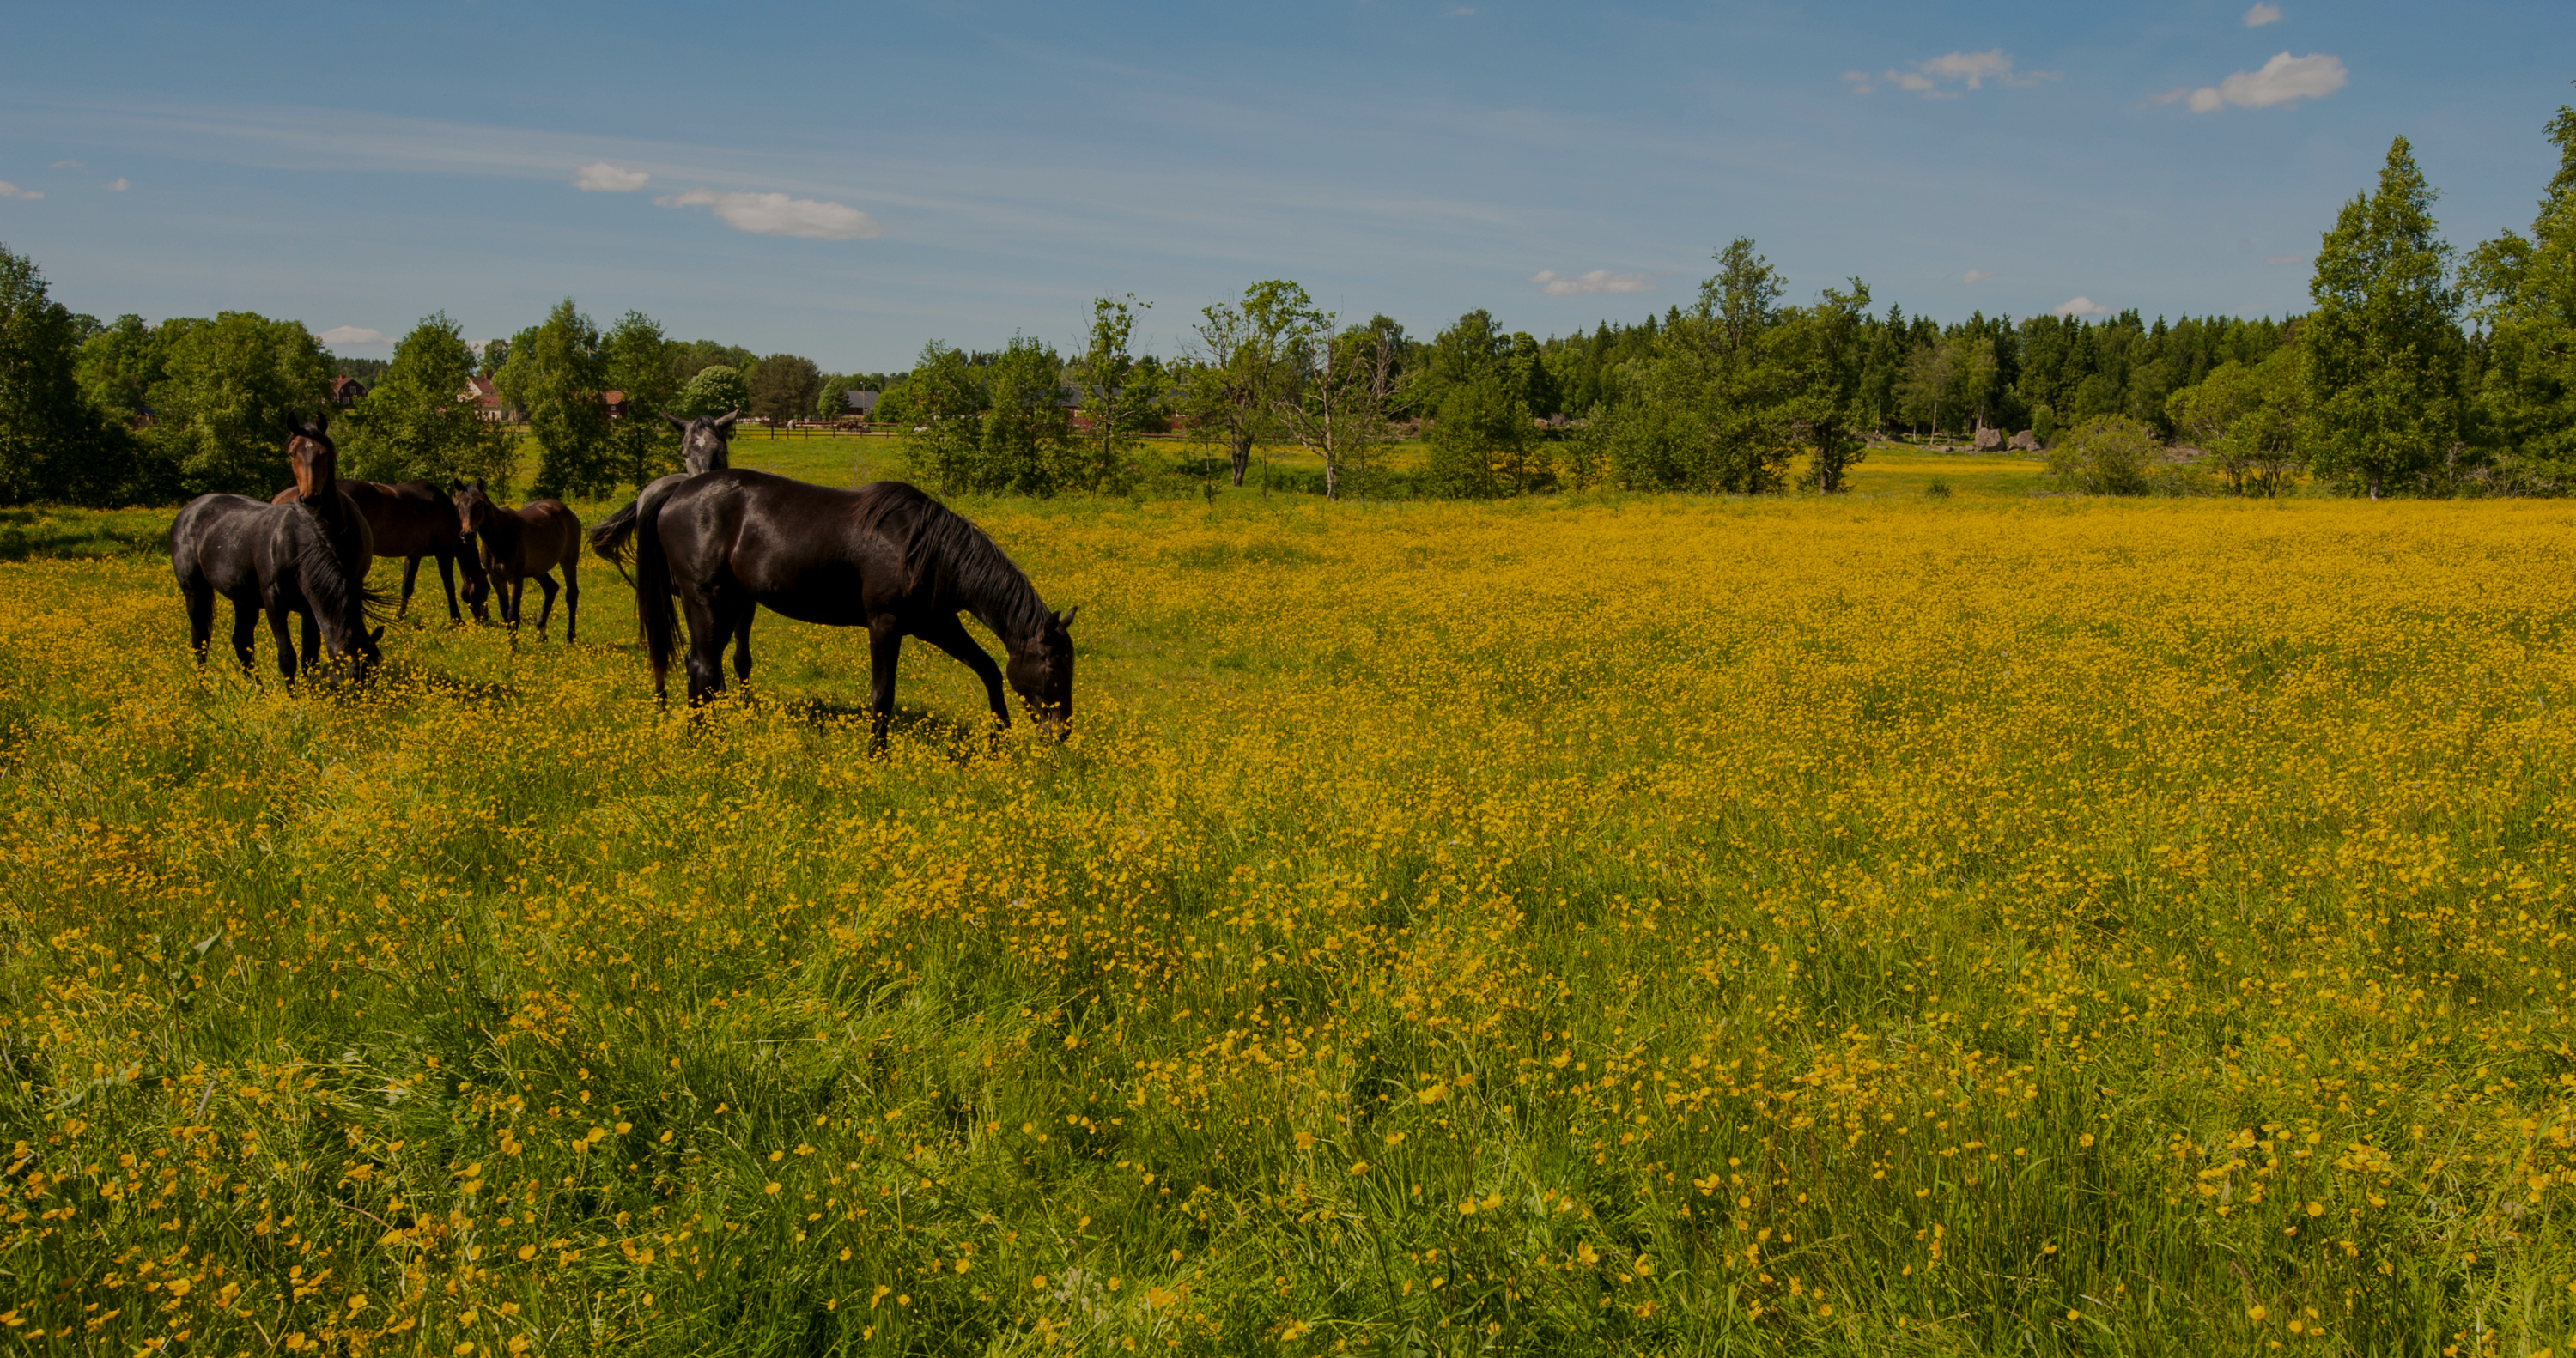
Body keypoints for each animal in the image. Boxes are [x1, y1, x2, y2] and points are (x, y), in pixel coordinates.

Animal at [171, 412, 386, 685]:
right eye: (291, 453)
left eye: (324, 453)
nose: (310, 498)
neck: (293, 545)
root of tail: (190, 510)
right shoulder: (274, 604)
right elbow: (287, 657)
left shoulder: (310, 606)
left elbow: (309, 656)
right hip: (194, 590)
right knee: (200, 640)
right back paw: (203, 688)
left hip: (243, 599)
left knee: (241, 641)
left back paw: (257, 688)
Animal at [271, 482, 487, 623]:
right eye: (486, 589)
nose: (485, 620)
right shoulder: (444, 552)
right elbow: (449, 586)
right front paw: (457, 620)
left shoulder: (413, 554)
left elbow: (407, 587)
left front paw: (400, 617)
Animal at [461, 482, 590, 646]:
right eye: (458, 505)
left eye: (478, 505)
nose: (467, 534)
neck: (499, 537)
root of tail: (567, 511)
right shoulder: (496, 579)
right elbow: (505, 613)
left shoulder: (516, 578)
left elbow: (513, 615)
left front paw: (514, 651)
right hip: (537, 569)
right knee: (551, 587)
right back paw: (542, 631)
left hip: (568, 561)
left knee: (571, 594)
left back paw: (570, 637)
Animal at [634, 469, 1077, 742]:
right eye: (1053, 666)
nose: (1063, 731)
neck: (924, 549)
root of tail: (677, 492)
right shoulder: (886, 624)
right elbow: (882, 694)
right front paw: (876, 755)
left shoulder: (936, 624)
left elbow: (988, 669)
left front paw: (1000, 736)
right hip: (706, 599)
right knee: (702, 667)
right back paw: (704, 742)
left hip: (730, 603)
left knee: (707, 667)